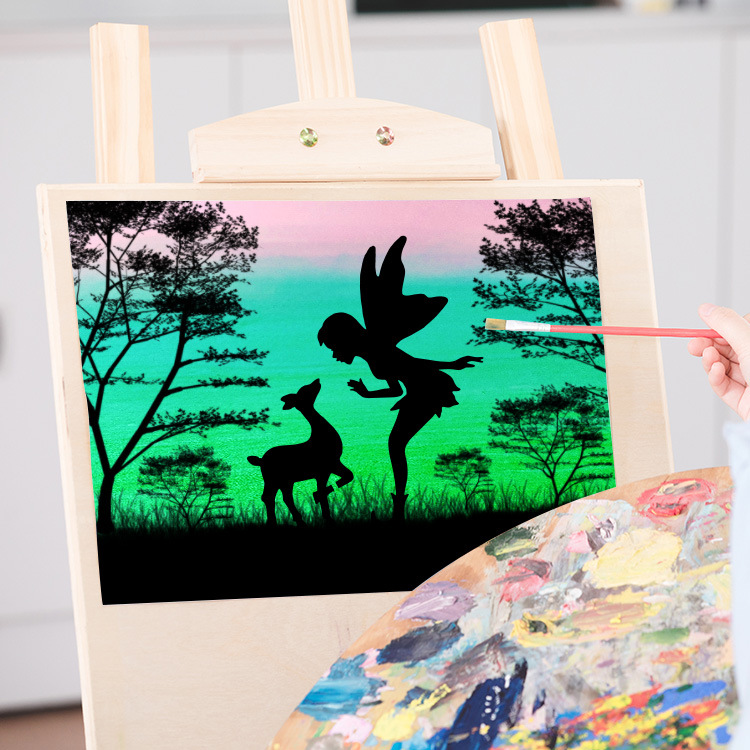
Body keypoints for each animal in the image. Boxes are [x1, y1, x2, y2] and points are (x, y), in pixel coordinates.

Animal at [247, 378, 354, 526]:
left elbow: (349, 475)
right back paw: (278, 522)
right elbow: (323, 490)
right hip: (272, 478)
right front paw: (326, 514)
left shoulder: (333, 464)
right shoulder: (324, 468)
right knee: (269, 497)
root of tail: (260, 460)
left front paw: (319, 499)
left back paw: (296, 520)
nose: (317, 380)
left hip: (284, 481)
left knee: (282, 497)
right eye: (305, 390)